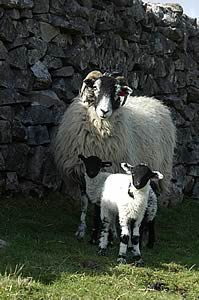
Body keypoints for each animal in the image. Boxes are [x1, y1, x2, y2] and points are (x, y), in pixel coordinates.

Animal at [54, 70, 176, 239]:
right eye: (95, 87)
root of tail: (156, 102)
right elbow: (84, 203)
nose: (104, 111)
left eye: (117, 92)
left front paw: (111, 232)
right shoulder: (81, 173)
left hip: (159, 169)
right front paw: (81, 230)